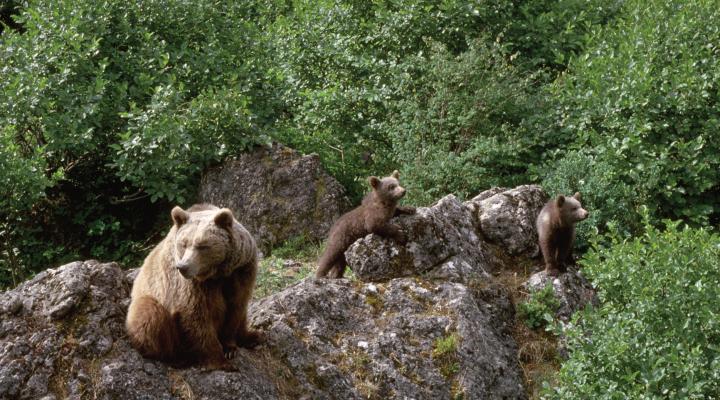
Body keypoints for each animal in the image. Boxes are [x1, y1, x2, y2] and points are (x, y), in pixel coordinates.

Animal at [126, 205, 258, 370]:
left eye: (202, 245)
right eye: (183, 244)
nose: (183, 267)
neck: (217, 274)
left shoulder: (240, 272)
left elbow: (236, 307)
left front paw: (230, 348)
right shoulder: (191, 285)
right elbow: (196, 315)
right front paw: (221, 361)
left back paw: (252, 337)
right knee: (150, 315)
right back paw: (177, 359)